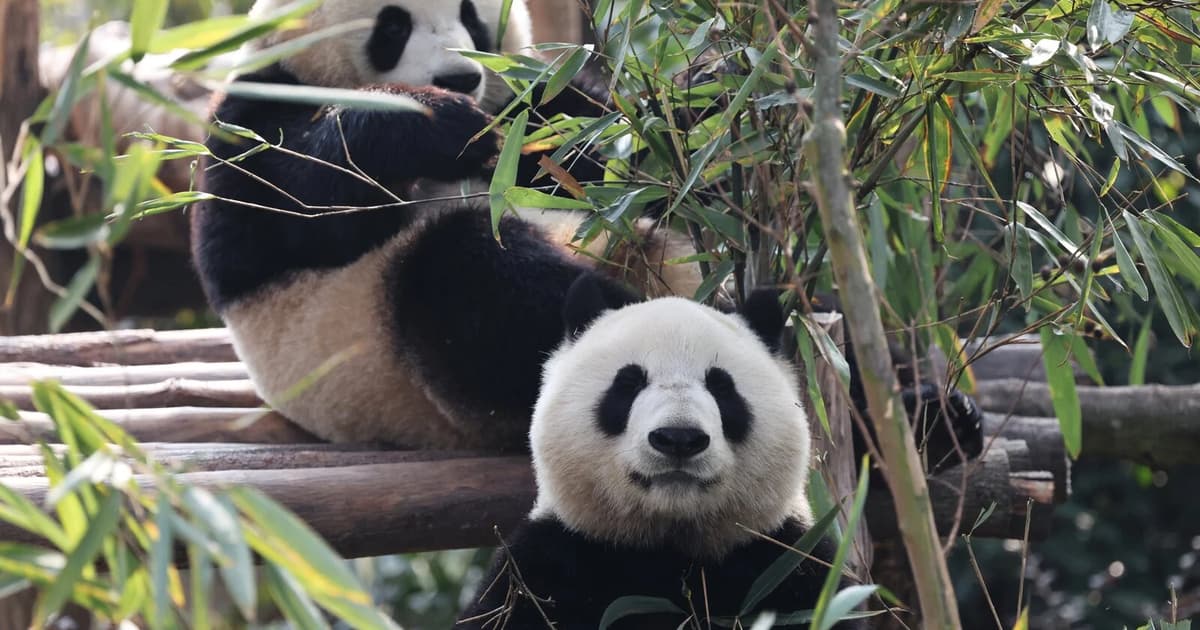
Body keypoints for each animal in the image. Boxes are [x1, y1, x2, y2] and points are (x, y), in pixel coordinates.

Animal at [190, 0, 700, 448]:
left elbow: (604, 147)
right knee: (469, 272)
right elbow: (291, 207)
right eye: (393, 26)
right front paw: (435, 120)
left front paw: (694, 102)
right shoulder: (252, 114)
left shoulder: (531, 105)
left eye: (470, 14)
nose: (461, 78)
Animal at [457, 274, 870, 629]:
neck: (669, 547)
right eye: (628, 382)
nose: (679, 438)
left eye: (722, 387)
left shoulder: (786, 562)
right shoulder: (549, 563)